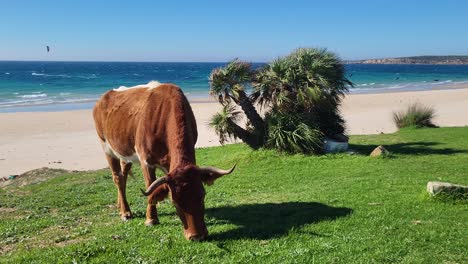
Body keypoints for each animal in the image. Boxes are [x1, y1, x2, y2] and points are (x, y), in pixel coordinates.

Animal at [93, 81, 236, 240]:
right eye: (174, 202)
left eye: (202, 195)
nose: (197, 236)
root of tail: (104, 97)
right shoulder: (146, 161)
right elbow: (150, 187)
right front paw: (151, 219)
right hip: (106, 147)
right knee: (117, 178)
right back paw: (125, 212)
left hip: (125, 152)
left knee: (123, 177)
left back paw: (121, 206)